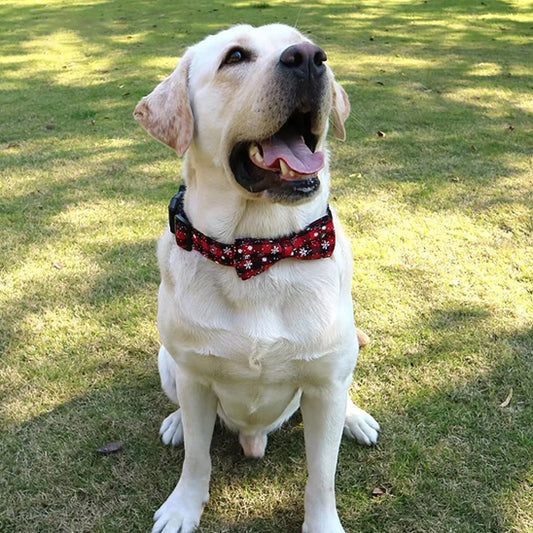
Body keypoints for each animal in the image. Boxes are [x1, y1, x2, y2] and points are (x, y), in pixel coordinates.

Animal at [135, 22, 380, 528]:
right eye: (235, 56)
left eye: (304, 44)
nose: (308, 58)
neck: (259, 250)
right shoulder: (194, 379)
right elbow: (197, 457)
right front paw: (183, 506)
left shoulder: (324, 385)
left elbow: (322, 478)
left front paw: (323, 525)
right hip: (169, 363)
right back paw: (175, 423)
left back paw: (355, 417)